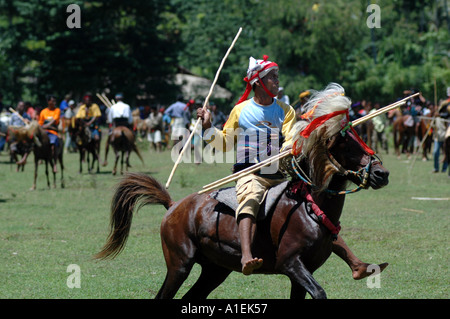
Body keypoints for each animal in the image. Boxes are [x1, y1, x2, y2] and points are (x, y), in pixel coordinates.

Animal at [95, 94, 390, 298]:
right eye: (345, 144)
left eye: (360, 137)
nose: (382, 173)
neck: (309, 209)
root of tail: (173, 206)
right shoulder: (291, 264)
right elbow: (319, 292)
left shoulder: (301, 272)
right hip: (179, 264)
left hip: (214, 269)